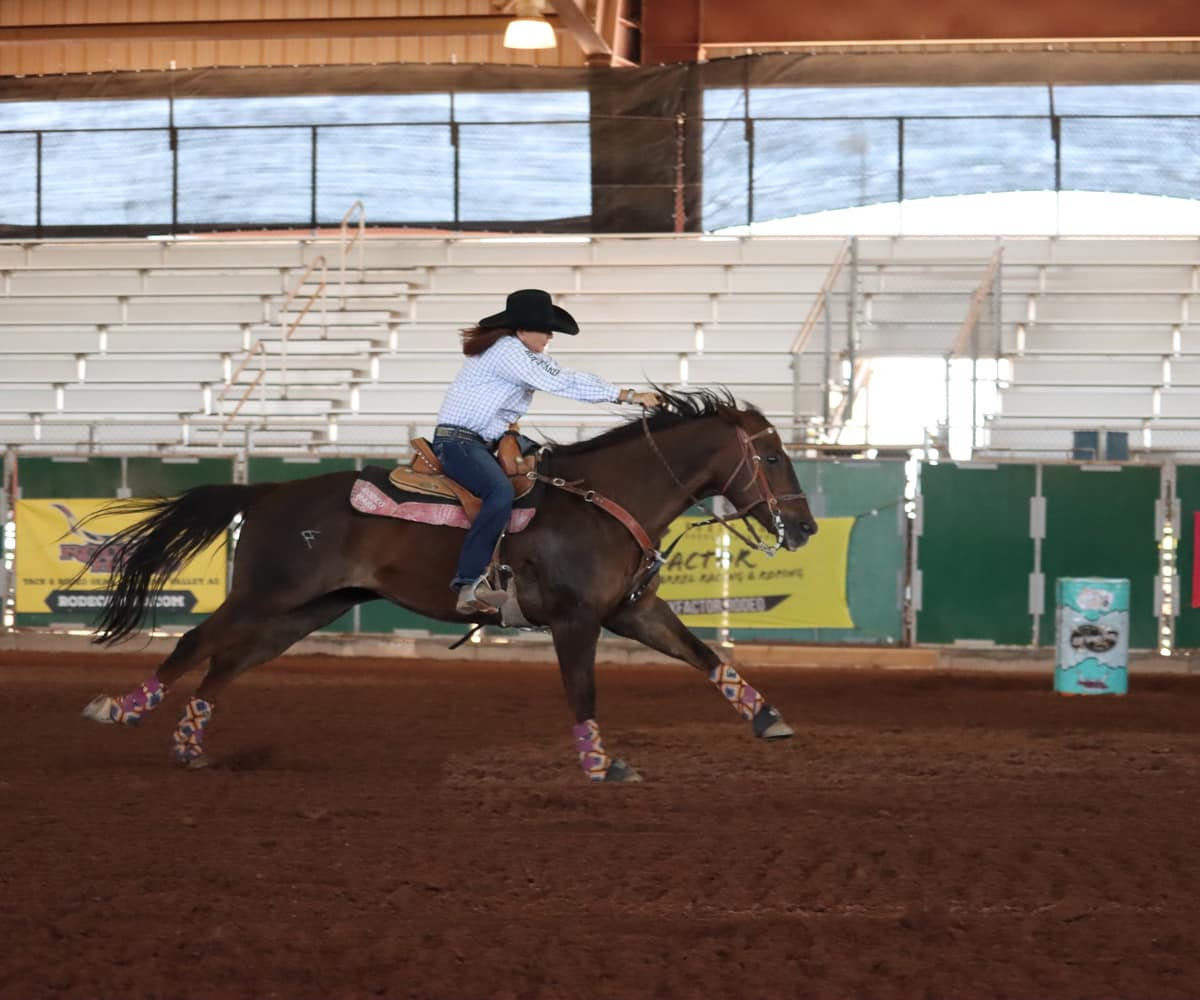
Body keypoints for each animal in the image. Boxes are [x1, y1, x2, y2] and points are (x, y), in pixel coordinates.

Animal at [82, 388, 816, 777]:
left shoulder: (632, 613)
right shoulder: (575, 621)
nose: (805, 527)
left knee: (227, 662)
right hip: (267, 594)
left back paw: (188, 745)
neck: (601, 501)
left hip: (308, 610)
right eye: (773, 455)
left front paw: (769, 718)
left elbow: (705, 655)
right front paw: (600, 763)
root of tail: (265, 491)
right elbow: (582, 691)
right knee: (195, 644)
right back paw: (119, 710)